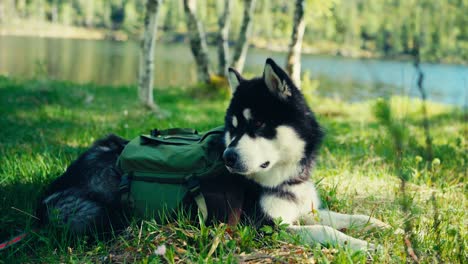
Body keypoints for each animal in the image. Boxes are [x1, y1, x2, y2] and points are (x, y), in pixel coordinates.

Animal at [37, 57, 394, 252]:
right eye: (232, 128)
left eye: (258, 124)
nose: (229, 157)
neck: (284, 178)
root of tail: (52, 189)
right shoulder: (263, 226)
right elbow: (326, 231)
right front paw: (366, 246)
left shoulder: (304, 210)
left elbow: (348, 218)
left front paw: (383, 227)